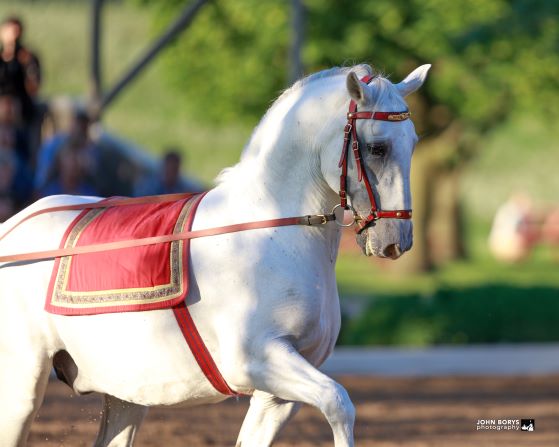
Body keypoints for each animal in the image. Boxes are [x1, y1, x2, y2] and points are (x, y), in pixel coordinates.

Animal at [0, 64, 430, 447]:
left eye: (413, 142)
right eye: (376, 147)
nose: (397, 241)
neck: (270, 230)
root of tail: (11, 229)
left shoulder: (278, 393)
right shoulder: (257, 361)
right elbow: (338, 402)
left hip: (125, 396)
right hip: (21, 389)